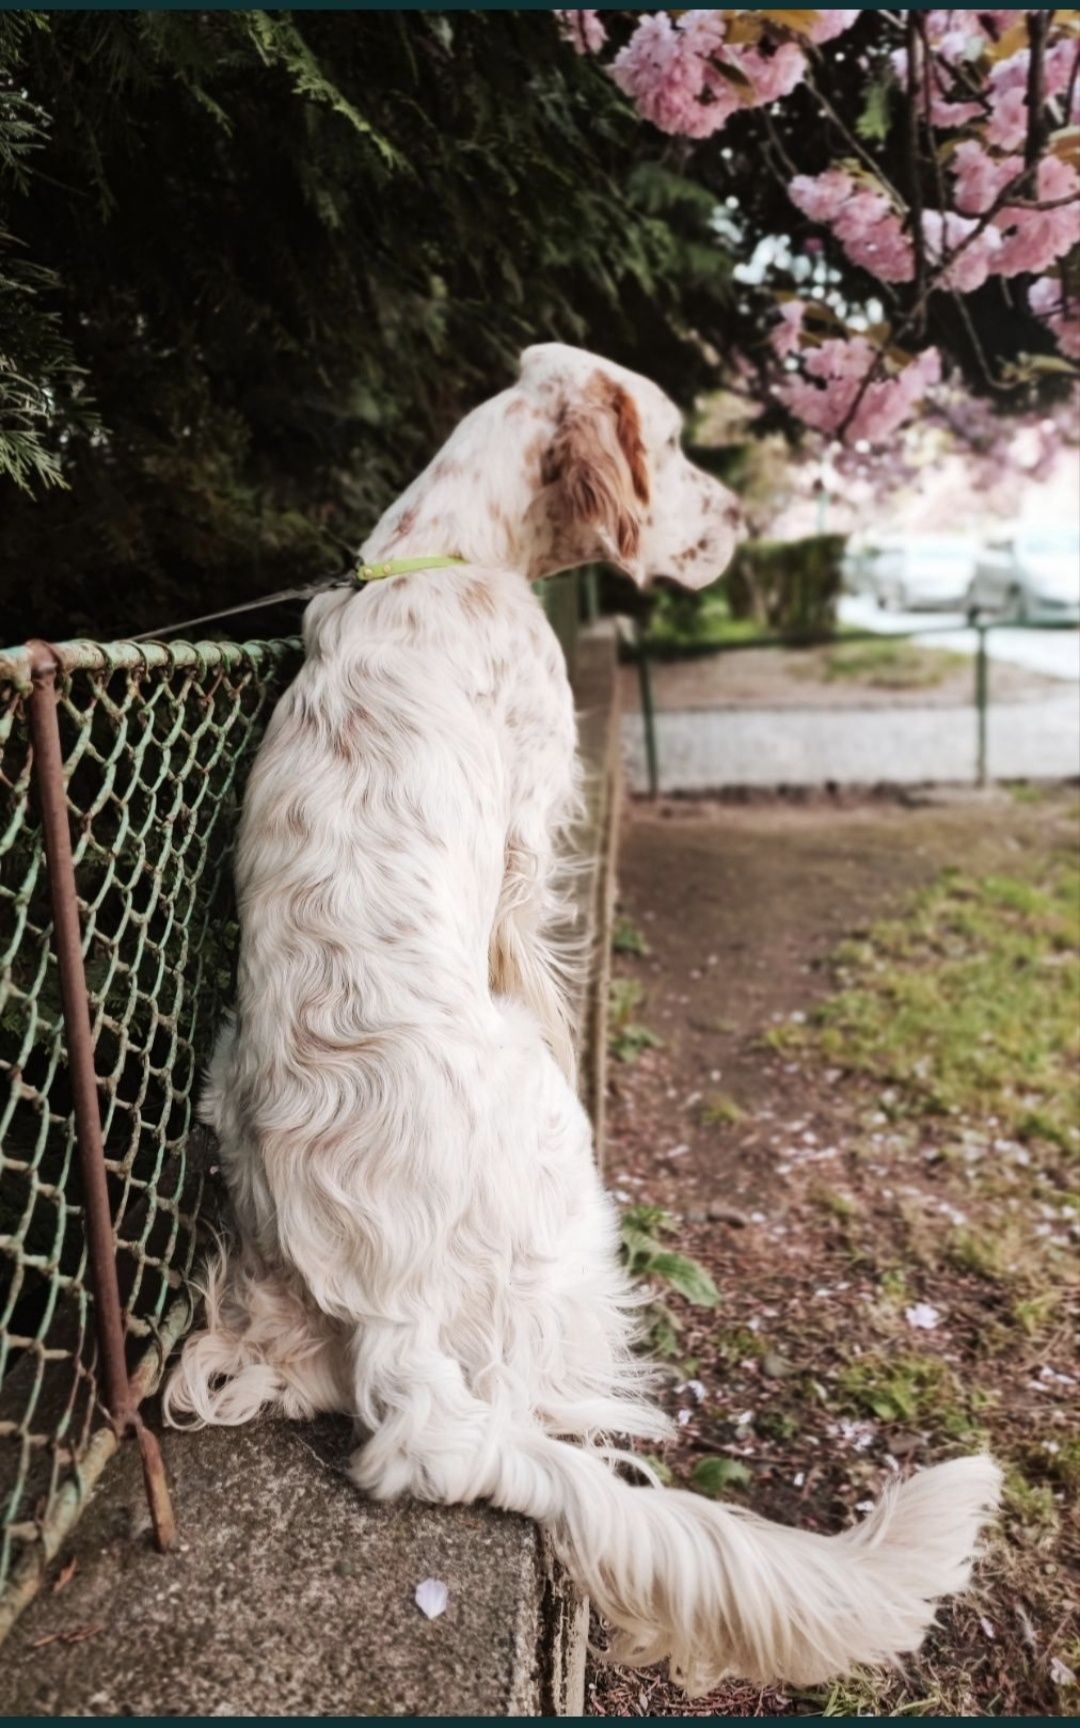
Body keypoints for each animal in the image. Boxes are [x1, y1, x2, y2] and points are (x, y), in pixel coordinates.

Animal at [164, 343, 995, 1693]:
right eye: (676, 437)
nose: (741, 517)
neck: (449, 547)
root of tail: (390, 1326)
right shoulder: (533, 827)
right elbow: (547, 972)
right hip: (562, 1188)